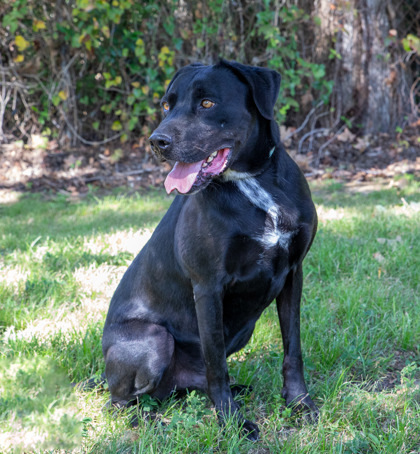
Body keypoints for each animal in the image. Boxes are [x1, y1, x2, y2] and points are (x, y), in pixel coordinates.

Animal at [102, 58, 318, 438]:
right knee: (125, 401)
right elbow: (216, 362)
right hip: (154, 340)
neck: (251, 182)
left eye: (207, 103)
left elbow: (293, 349)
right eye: (167, 106)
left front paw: (299, 403)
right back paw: (152, 422)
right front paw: (232, 422)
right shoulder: (208, 286)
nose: (157, 141)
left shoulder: (293, 273)